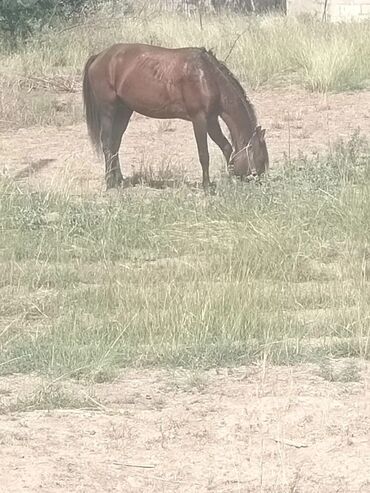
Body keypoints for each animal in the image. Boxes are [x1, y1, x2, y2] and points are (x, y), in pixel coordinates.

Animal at [83, 43, 268, 189]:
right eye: (261, 159)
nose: (261, 182)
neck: (208, 77)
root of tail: (98, 56)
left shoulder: (211, 120)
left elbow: (226, 147)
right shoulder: (199, 119)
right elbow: (204, 154)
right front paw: (207, 186)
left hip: (124, 111)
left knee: (116, 143)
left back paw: (119, 179)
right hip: (108, 109)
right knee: (107, 143)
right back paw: (110, 182)